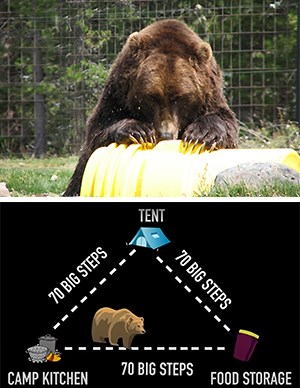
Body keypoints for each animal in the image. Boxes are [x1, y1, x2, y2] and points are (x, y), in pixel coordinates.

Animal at [63, 18, 239, 196]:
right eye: (152, 97)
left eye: (179, 98)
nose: (166, 134)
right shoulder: (116, 96)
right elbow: (98, 131)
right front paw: (139, 131)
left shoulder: (210, 95)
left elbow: (225, 121)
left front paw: (201, 134)